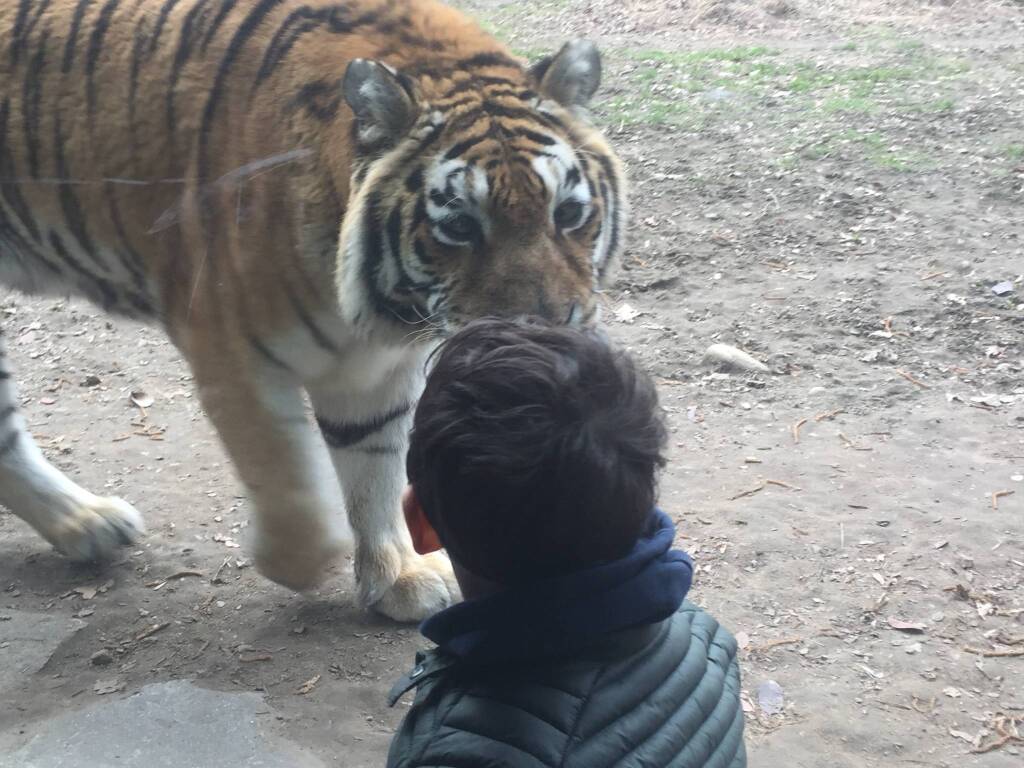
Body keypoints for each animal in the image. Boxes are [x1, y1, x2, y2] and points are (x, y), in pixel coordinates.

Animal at [0, 0, 627, 621]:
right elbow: (287, 475)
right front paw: (291, 564)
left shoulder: (373, 370)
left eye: (569, 214)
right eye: (459, 226)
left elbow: (375, 468)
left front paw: (397, 576)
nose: (542, 334)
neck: (377, 310)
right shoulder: (229, 350)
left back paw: (88, 525)